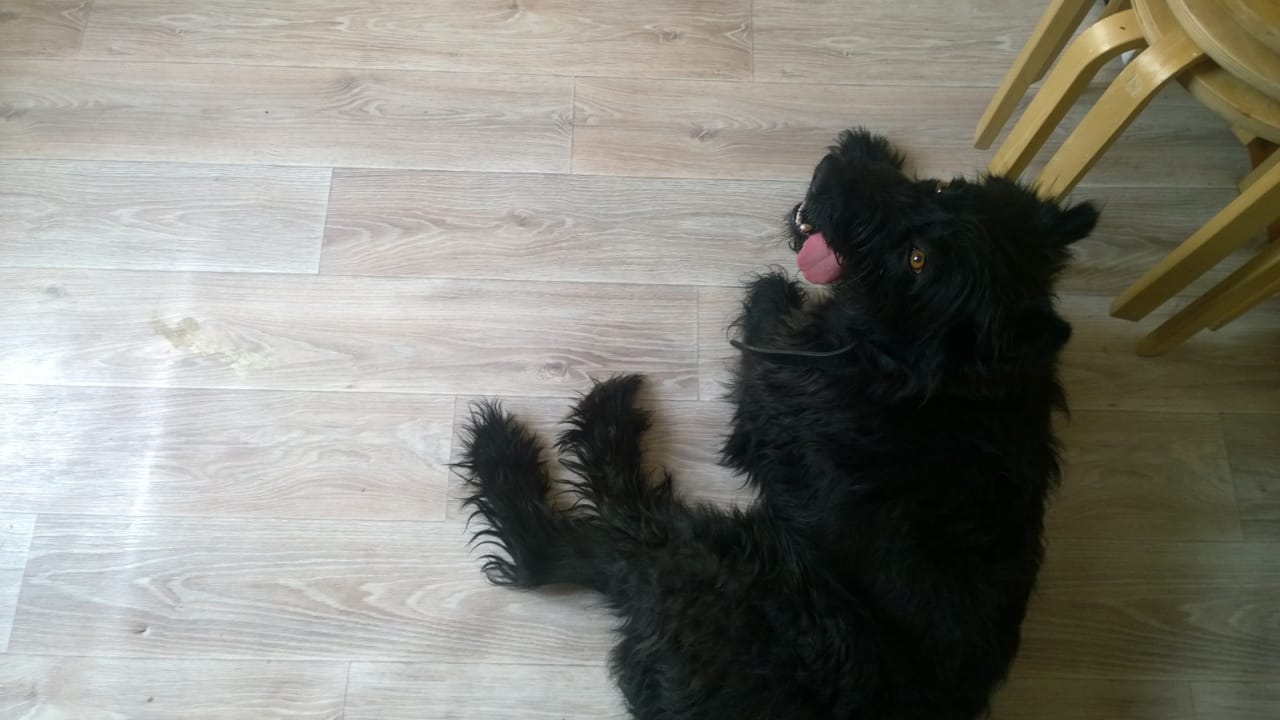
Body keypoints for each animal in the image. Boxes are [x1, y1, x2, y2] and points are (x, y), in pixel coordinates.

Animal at [456, 129, 1098, 719]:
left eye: (918, 259)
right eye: (941, 188)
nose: (829, 173)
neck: (940, 381)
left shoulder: (774, 395)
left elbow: (772, 326)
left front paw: (775, 289)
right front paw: (871, 147)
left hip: (728, 559)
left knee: (576, 543)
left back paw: (544, 439)